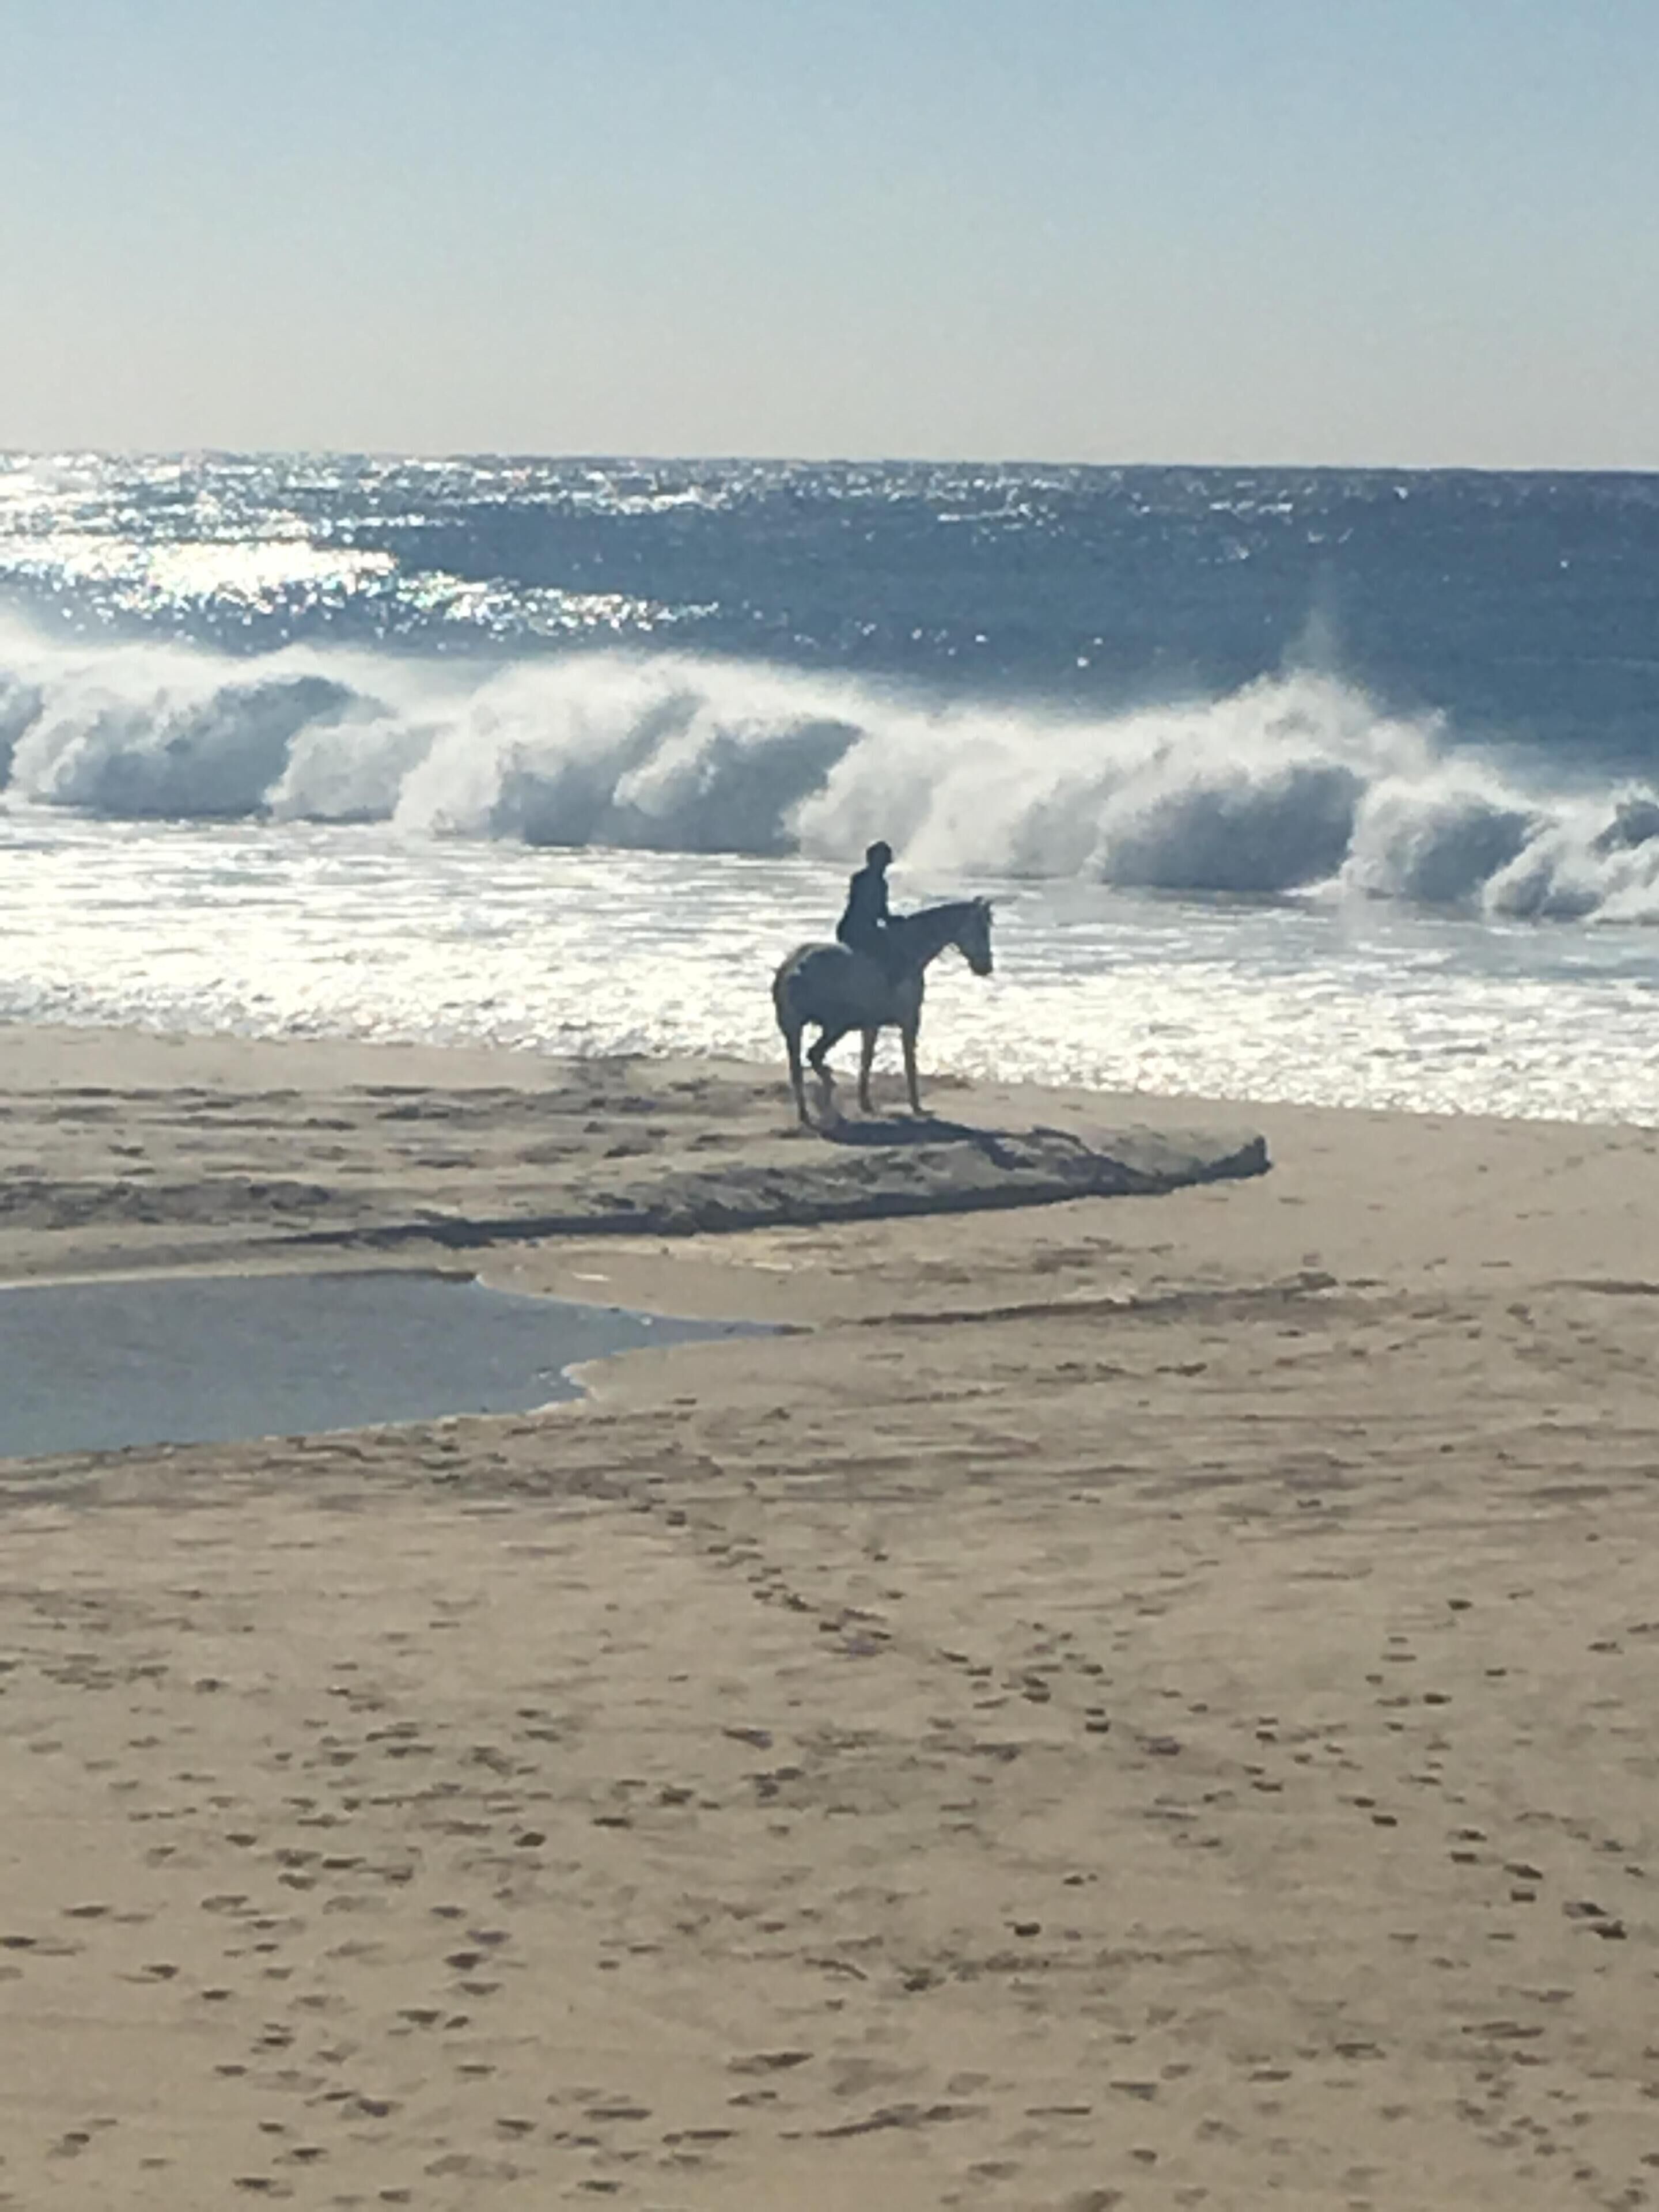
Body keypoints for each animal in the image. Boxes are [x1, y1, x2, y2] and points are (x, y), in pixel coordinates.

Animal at [771, 897, 994, 1126]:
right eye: (981, 929)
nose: (986, 967)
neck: (908, 952)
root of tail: (790, 968)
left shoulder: (871, 1025)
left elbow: (866, 1061)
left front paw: (865, 1103)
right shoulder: (910, 1021)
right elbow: (909, 1063)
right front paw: (916, 1107)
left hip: (798, 1028)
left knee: (802, 1067)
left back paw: (813, 1106)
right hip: (834, 1026)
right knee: (812, 1056)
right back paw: (825, 1091)